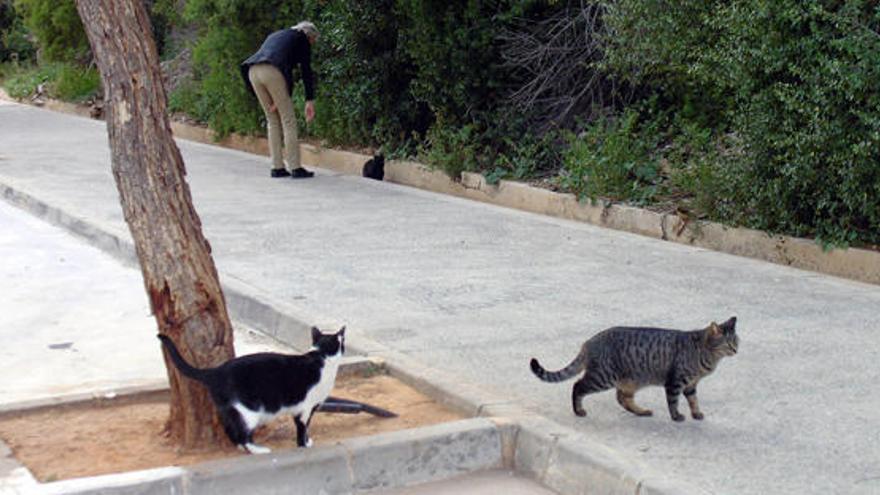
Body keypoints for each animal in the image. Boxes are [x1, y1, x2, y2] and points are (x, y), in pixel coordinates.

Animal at [158, 328, 344, 456]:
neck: (320, 356)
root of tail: (216, 371)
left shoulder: (305, 409)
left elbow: (305, 428)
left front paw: (306, 441)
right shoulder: (305, 409)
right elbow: (302, 428)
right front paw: (303, 445)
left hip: (230, 410)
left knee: (231, 430)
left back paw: (244, 448)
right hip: (250, 412)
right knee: (242, 433)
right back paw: (258, 450)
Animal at [532, 318, 740, 422]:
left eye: (736, 341)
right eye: (727, 343)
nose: (736, 350)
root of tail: (588, 342)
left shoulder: (691, 385)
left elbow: (693, 401)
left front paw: (696, 414)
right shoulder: (675, 382)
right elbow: (674, 402)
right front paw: (677, 416)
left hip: (630, 381)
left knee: (622, 398)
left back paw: (642, 411)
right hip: (603, 377)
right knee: (577, 386)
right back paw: (579, 410)